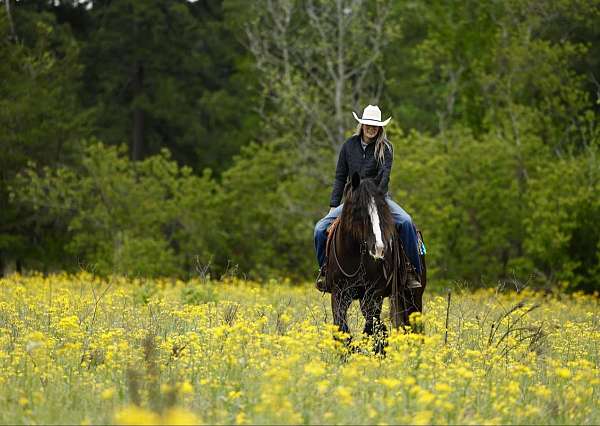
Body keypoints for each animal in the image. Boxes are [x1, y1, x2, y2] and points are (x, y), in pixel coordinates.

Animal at [324, 171, 426, 350]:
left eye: (383, 209)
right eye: (358, 210)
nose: (379, 248)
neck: (354, 257)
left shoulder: (373, 294)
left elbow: (373, 329)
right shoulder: (338, 294)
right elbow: (342, 328)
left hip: (413, 296)